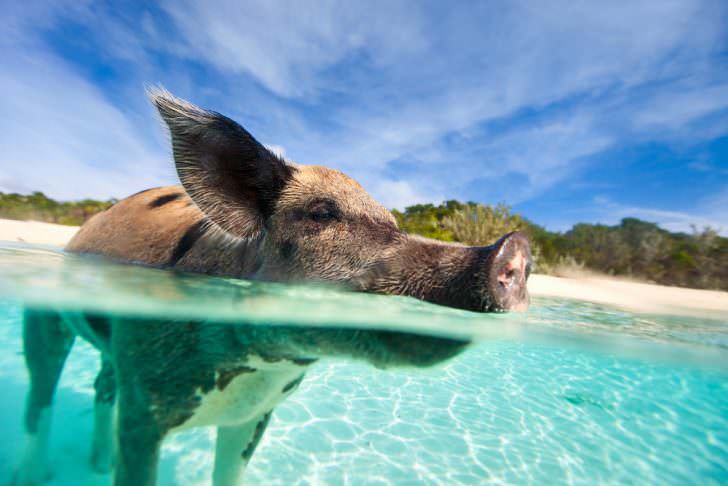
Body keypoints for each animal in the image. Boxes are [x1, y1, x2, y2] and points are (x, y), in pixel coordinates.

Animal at [15, 88, 528, 486]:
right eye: (322, 213)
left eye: (394, 224)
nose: (513, 248)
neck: (257, 367)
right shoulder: (143, 403)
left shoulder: (254, 414)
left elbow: (229, 473)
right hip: (43, 319)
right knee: (40, 393)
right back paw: (37, 473)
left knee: (101, 384)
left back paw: (96, 465)